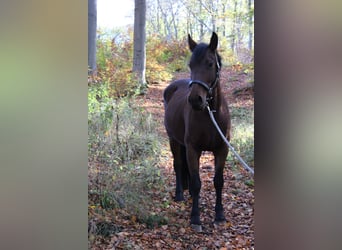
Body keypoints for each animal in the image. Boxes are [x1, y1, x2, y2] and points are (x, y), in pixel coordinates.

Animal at [162, 32, 230, 231]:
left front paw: (219, 215)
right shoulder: (193, 149)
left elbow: (218, 181)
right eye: (190, 65)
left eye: (210, 63)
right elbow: (196, 182)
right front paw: (195, 218)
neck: (211, 113)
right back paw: (179, 195)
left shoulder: (222, 149)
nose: (195, 100)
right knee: (178, 165)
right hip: (173, 140)